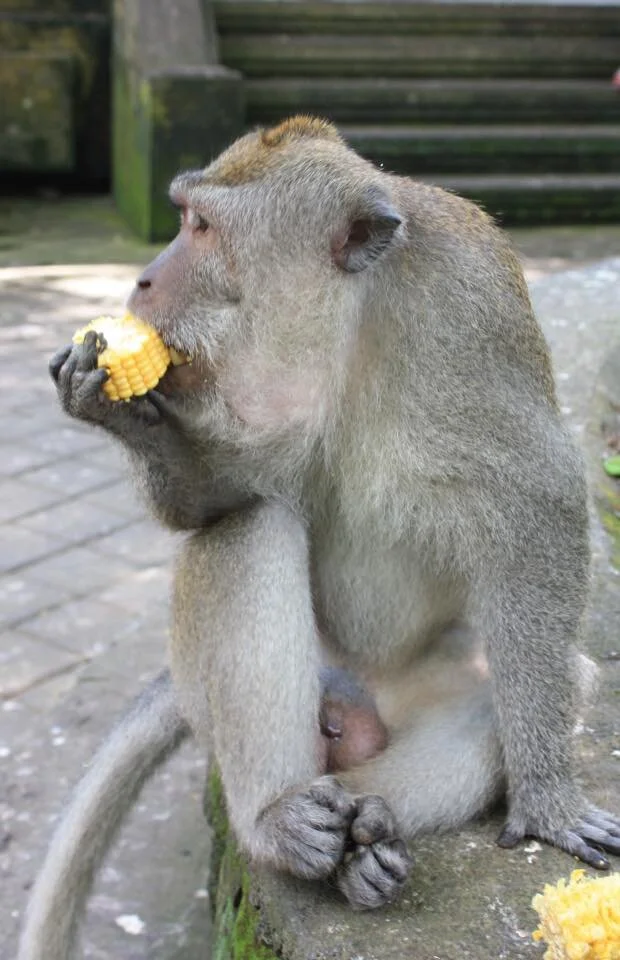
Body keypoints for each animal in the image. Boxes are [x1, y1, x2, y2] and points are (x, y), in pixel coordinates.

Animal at [19, 115, 620, 959]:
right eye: (181, 216)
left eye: (200, 227)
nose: (141, 282)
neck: (348, 316)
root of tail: (367, 697)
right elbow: (228, 500)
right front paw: (122, 412)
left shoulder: (471, 313)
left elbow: (540, 503)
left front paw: (547, 798)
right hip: (276, 684)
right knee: (252, 527)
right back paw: (279, 826)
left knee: (507, 690)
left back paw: (366, 837)